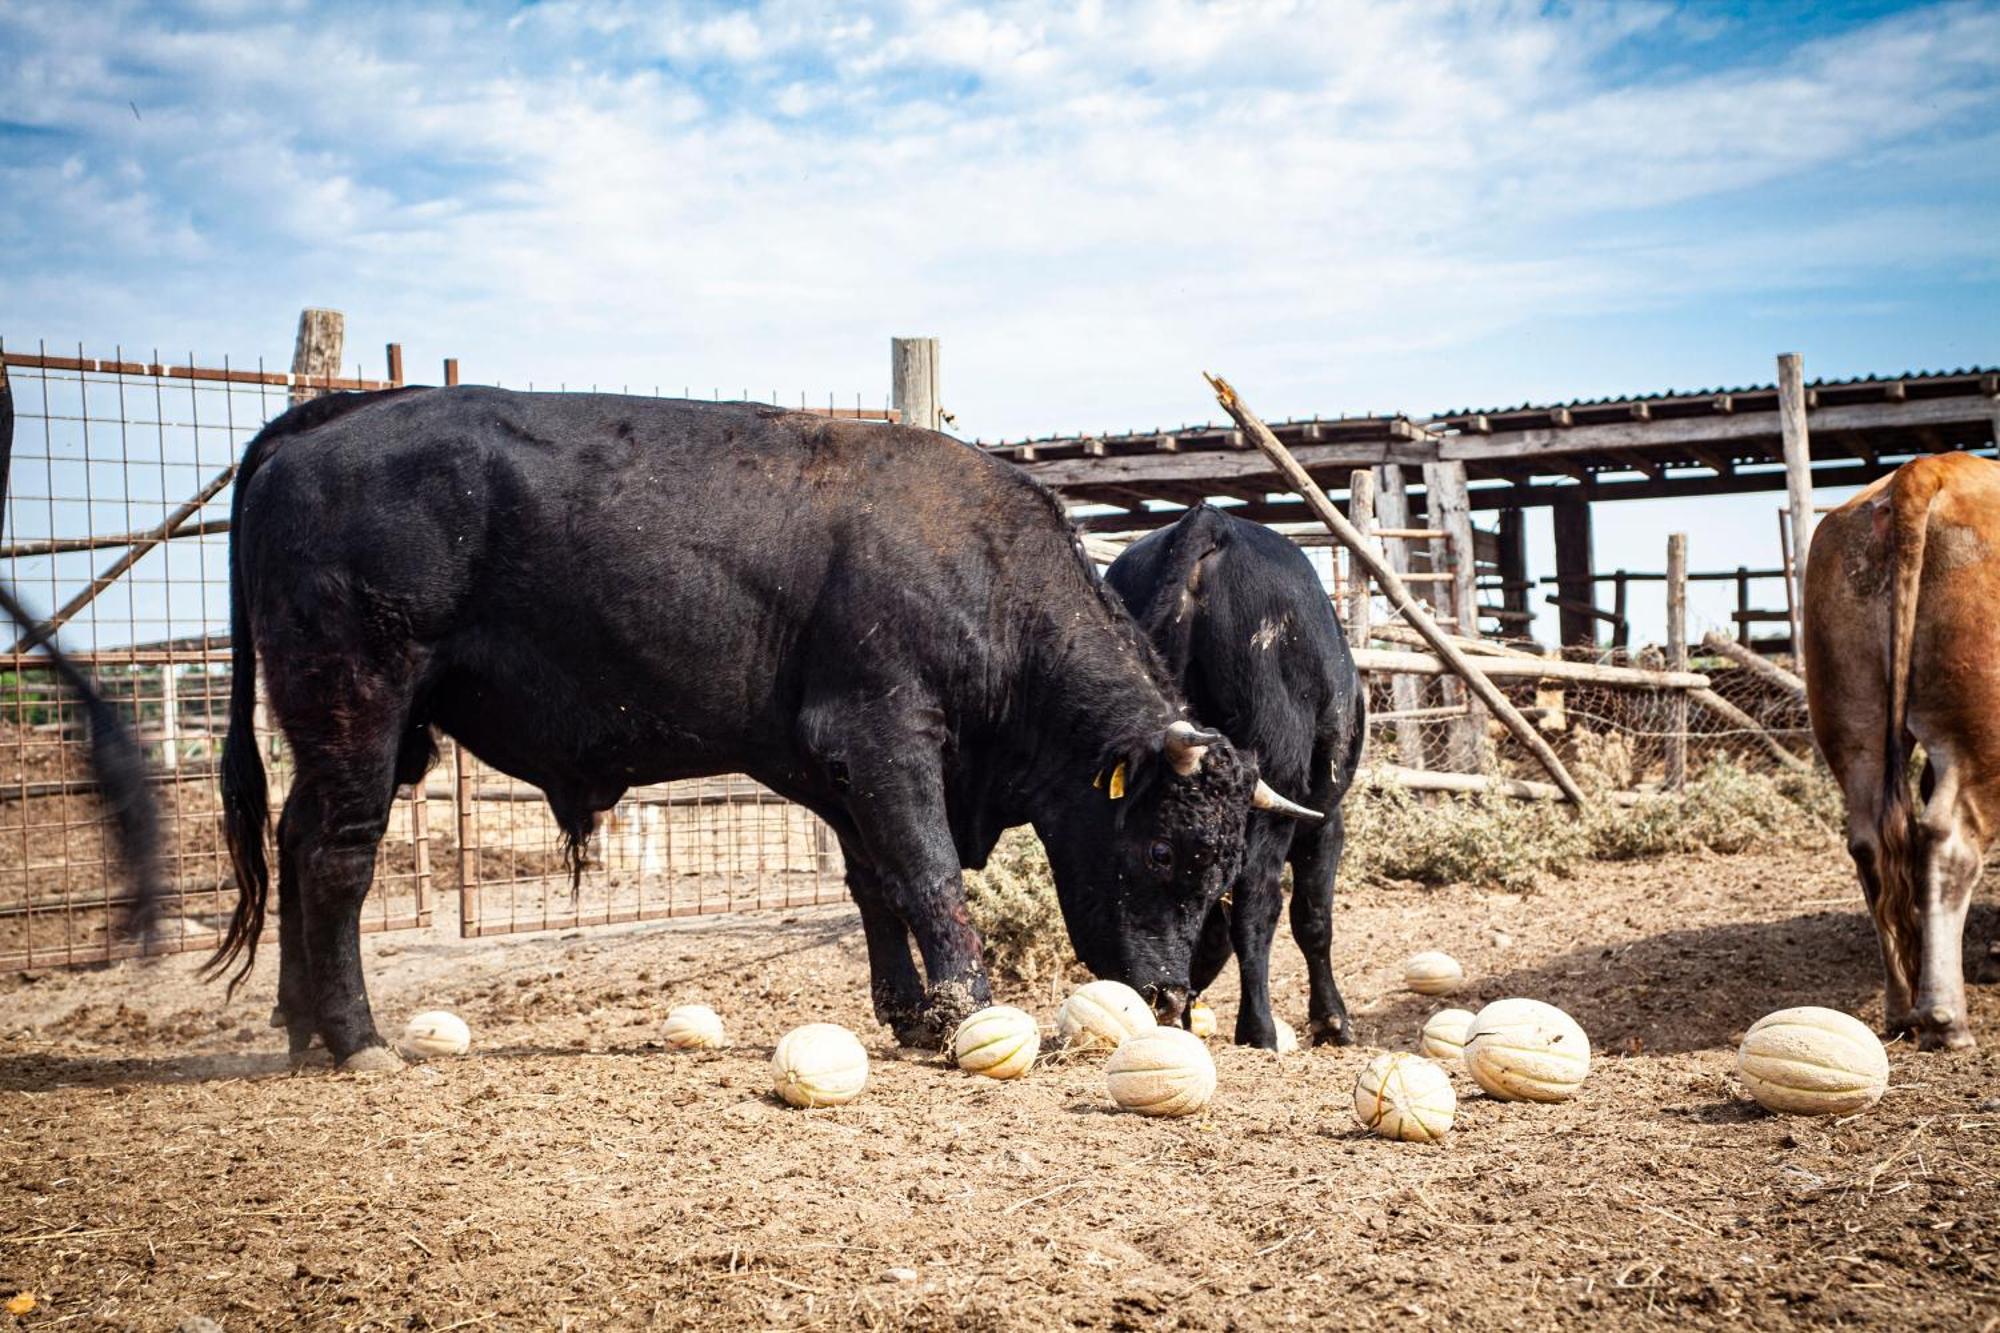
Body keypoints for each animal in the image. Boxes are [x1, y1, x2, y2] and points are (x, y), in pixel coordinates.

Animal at [211, 386, 1320, 1072]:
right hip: (361, 702)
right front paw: (967, 1006)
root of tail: (328, 420)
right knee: (336, 858)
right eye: (1168, 851)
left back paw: (301, 1029)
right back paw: (358, 1041)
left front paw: (908, 1013)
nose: (1169, 998)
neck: (984, 574)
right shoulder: (885, 739)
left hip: (347, 732)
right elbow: (926, 875)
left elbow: (876, 883)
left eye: (1227, 866)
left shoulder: (835, 768)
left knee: (296, 838)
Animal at [1808, 452, 1992, 1040]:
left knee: (1870, 844)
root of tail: (1926, 468)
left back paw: (1900, 1005)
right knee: (1948, 841)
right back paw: (1944, 1015)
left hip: (1853, 721)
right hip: (1978, 738)